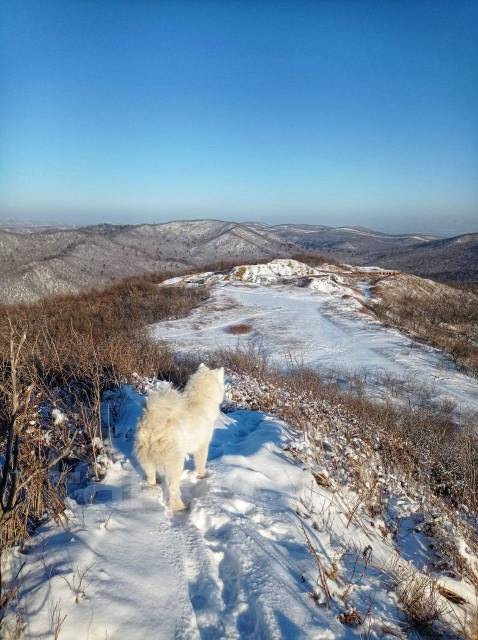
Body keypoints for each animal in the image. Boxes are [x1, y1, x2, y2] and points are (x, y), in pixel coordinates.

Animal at [134, 364, 224, 510]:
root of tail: (154, 422)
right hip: (174, 462)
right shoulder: (202, 446)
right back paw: (180, 507)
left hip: (147, 460)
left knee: (150, 477)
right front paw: (202, 476)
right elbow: (201, 463)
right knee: (173, 489)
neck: (201, 399)